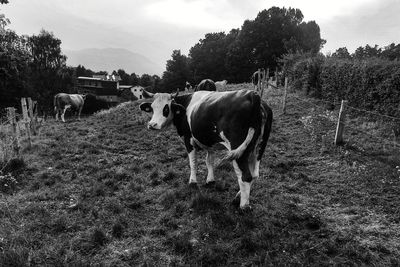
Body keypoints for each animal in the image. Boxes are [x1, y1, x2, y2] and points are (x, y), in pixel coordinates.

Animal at [139, 89, 274, 210]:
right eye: (152, 108)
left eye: (166, 108)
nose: (152, 125)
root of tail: (252, 94)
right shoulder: (209, 143)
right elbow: (209, 161)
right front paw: (210, 180)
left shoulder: (188, 140)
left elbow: (193, 163)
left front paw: (192, 181)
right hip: (258, 147)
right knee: (254, 174)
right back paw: (238, 197)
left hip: (238, 149)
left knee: (245, 176)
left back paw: (243, 206)